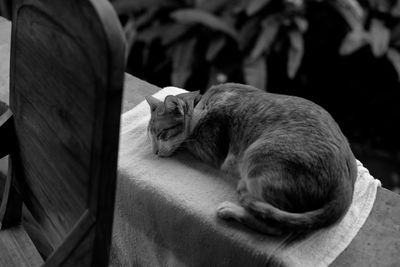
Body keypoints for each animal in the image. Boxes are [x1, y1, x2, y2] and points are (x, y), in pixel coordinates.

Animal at [145, 82, 358, 236]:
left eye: (162, 134)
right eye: (151, 135)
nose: (154, 152)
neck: (201, 105)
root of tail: (345, 186)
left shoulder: (210, 150)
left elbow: (185, 142)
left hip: (256, 158)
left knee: (276, 227)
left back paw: (229, 210)